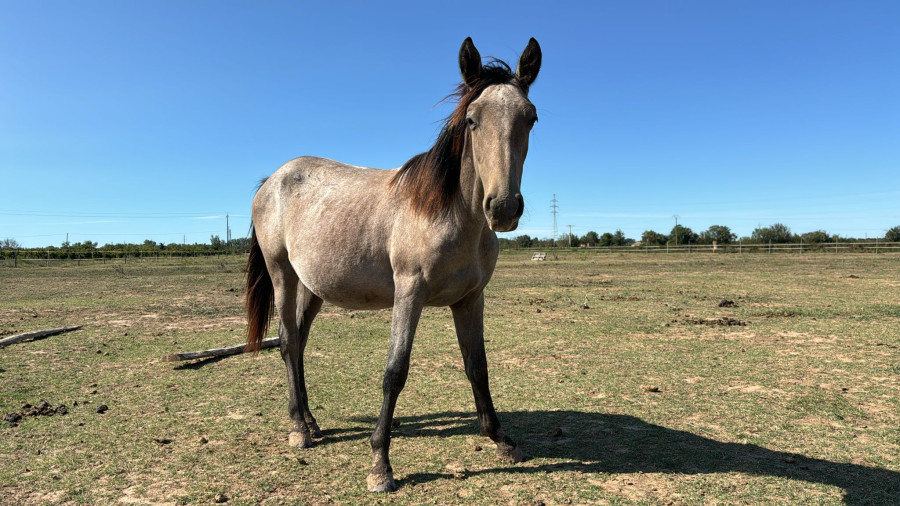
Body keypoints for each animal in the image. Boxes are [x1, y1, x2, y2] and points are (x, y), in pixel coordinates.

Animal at [246, 34, 540, 490]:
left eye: (530, 118)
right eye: (472, 120)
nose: (503, 208)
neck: (452, 214)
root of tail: (271, 180)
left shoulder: (470, 299)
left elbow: (478, 367)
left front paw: (501, 440)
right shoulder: (410, 292)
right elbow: (395, 372)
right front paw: (380, 465)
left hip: (313, 288)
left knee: (298, 343)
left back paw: (311, 422)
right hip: (282, 276)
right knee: (288, 341)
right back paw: (298, 430)